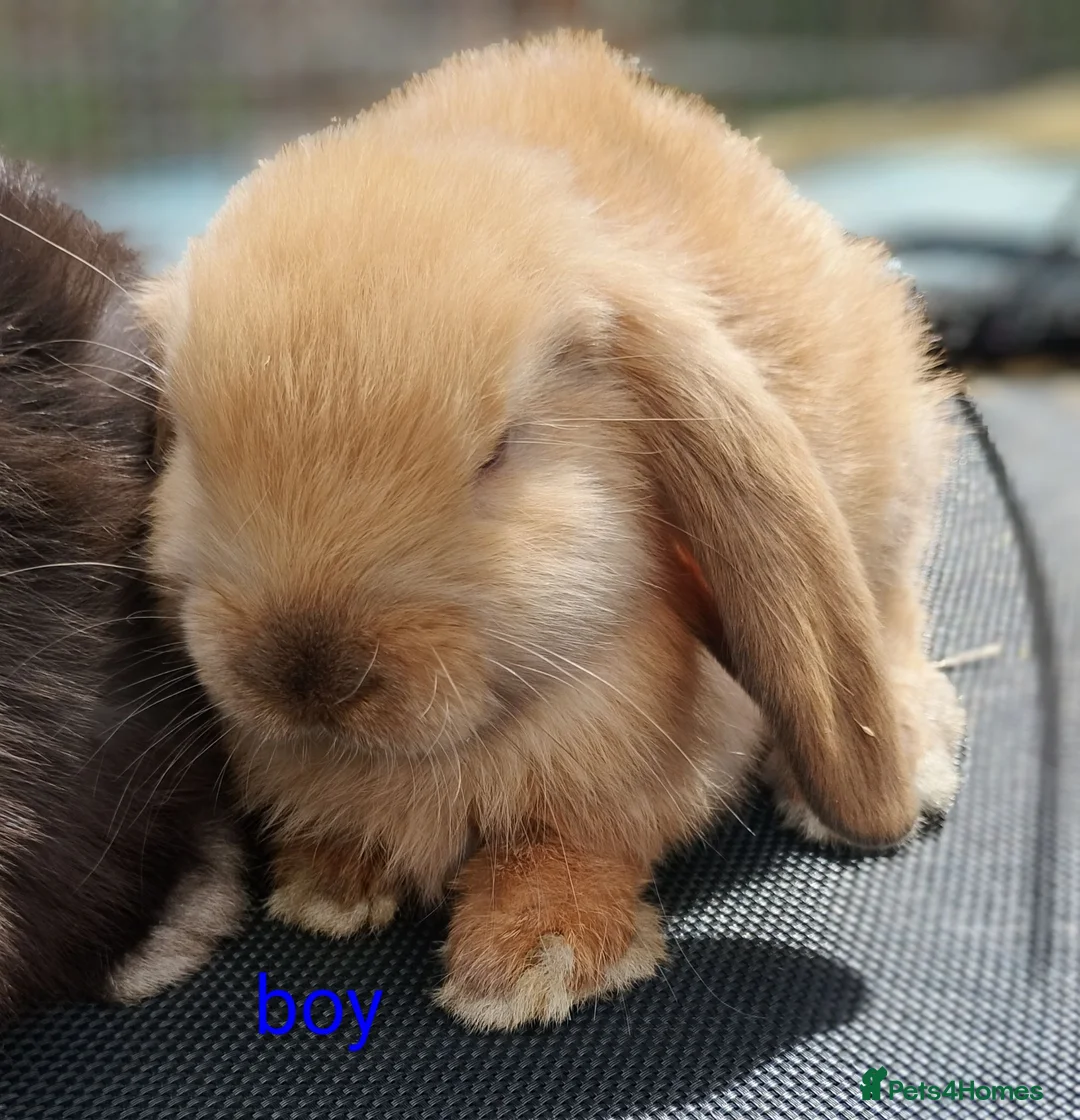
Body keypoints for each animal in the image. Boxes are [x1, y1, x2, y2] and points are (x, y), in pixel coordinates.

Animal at [135, 30, 965, 1031]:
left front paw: (534, 963)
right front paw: (330, 886)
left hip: (888, 499)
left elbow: (572, 844)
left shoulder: (629, 761)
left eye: (499, 452)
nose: (305, 672)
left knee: (892, 609)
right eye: (190, 448)